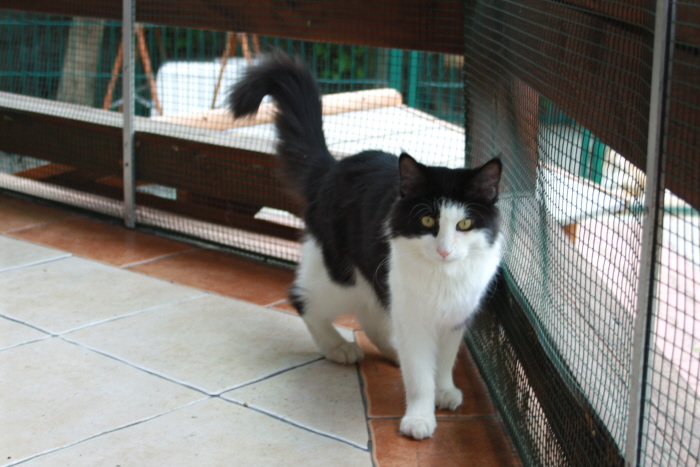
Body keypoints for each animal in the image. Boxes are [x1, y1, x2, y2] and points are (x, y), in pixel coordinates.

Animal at [228, 50, 503, 440]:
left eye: (465, 224)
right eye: (427, 222)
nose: (445, 249)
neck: (442, 278)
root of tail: (333, 168)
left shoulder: (456, 315)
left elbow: (444, 360)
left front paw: (445, 389)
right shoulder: (414, 315)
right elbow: (419, 374)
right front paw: (420, 417)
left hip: (373, 279)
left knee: (371, 316)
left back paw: (390, 351)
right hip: (340, 273)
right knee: (303, 299)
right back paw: (339, 347)